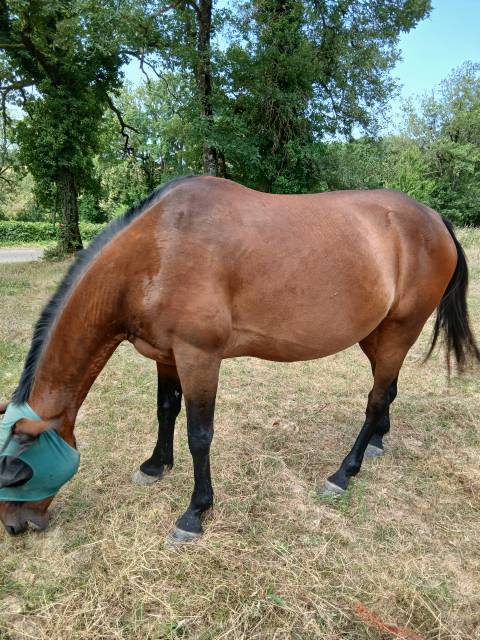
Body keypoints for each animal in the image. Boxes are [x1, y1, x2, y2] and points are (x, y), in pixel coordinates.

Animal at [0, 175, 478, 541]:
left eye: (17, 474)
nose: (14, 527)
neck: (158, 249)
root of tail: (435, 218)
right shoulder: (166, 355)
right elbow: (166, 410)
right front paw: (155, 466)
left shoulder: (199, 357)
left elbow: (199, 435)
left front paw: (195, 512)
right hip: (375, 334)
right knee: (388, 389)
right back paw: (378, 442)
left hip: (400, 330)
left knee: (376, 399)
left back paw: (344, 473)